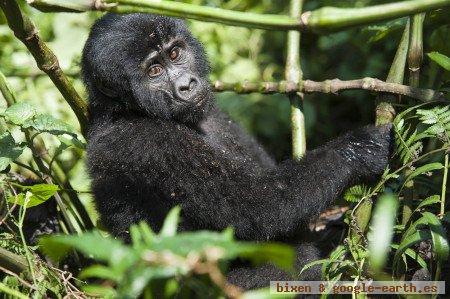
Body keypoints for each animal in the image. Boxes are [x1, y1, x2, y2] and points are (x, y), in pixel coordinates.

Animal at [82, 12, 392, 290]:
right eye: (154, 71)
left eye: (175, 53)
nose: (186, 85)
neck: (125, 110)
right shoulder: (144, 142)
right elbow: (261, 205)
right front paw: (359, 148)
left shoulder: (215, 113)